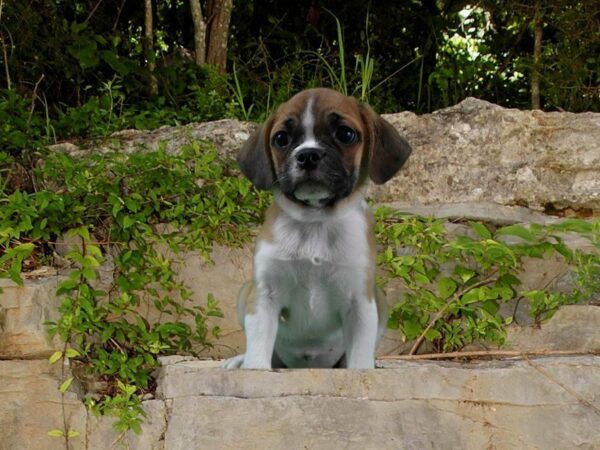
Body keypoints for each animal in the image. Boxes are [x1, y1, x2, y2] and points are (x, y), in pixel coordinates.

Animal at [223, 88, 410, 370]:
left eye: (345, 134)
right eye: (281, 138)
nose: (308, 155)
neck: (315, 223)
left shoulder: (360, 301)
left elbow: (360, 356)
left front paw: (362, 370)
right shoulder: (265, 294)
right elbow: (258, 347)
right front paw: (253, 367)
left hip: (380, 299)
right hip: (245, 291)